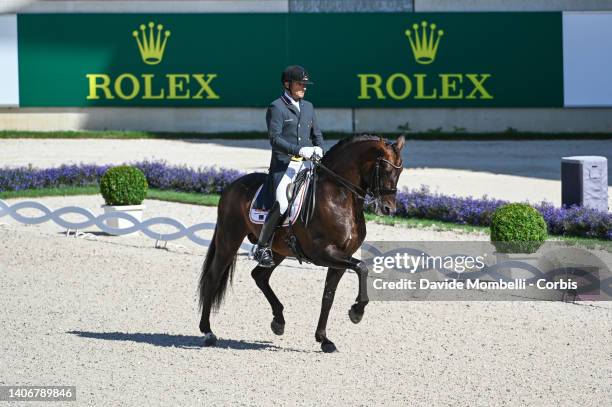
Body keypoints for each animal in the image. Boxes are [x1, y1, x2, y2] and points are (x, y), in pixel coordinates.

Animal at [198, 135, 404, 354]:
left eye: (400, 171)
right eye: (386, 169)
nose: (389, 209)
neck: (338, 196)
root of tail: (232, 186)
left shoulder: (341, 258)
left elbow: (328, 296)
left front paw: (324, 339)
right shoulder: (323, 254)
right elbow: (362, 267)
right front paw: (356, 312)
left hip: (277, 251)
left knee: (259, 276)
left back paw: (278, 321)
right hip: (229, 240)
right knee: (213, 277)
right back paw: (208, 332)